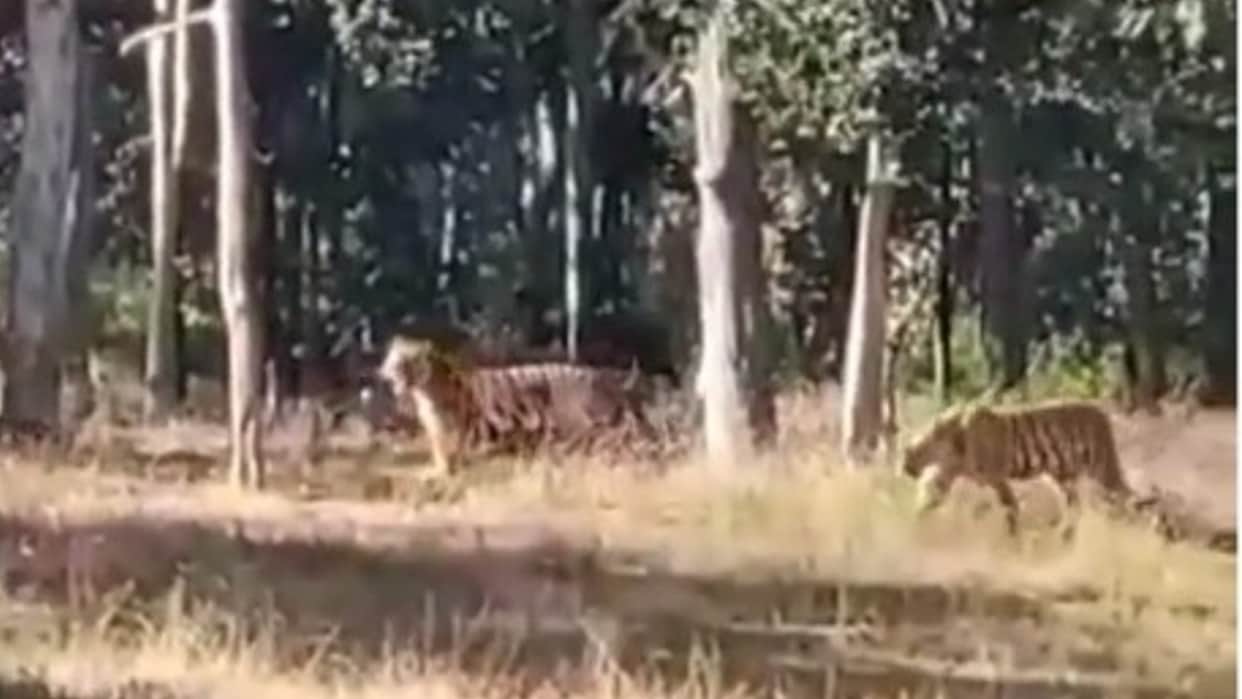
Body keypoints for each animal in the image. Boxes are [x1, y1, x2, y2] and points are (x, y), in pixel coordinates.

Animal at [377, 335, 665, 477]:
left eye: (409, 360)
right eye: (394, 358)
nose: (391, 371)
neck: (421, 390)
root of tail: (596, 375)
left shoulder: (450, 429)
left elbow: (445, 454)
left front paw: (437, 471)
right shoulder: (436, 429)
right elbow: (438, 452)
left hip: (579, 420)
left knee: (607, 440)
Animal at [900, 400, 1158, 538]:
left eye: (910, 452)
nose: (905, 468)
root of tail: (1102, 413)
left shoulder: (997, 477)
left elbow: (1010, 508)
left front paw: (1013, 539)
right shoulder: (947, 474)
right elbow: (927, 501)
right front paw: (914, 526)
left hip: (1102, 466)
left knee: (1126, 499)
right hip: (1063, 477)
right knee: (1076, 507)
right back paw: (1065, 536)